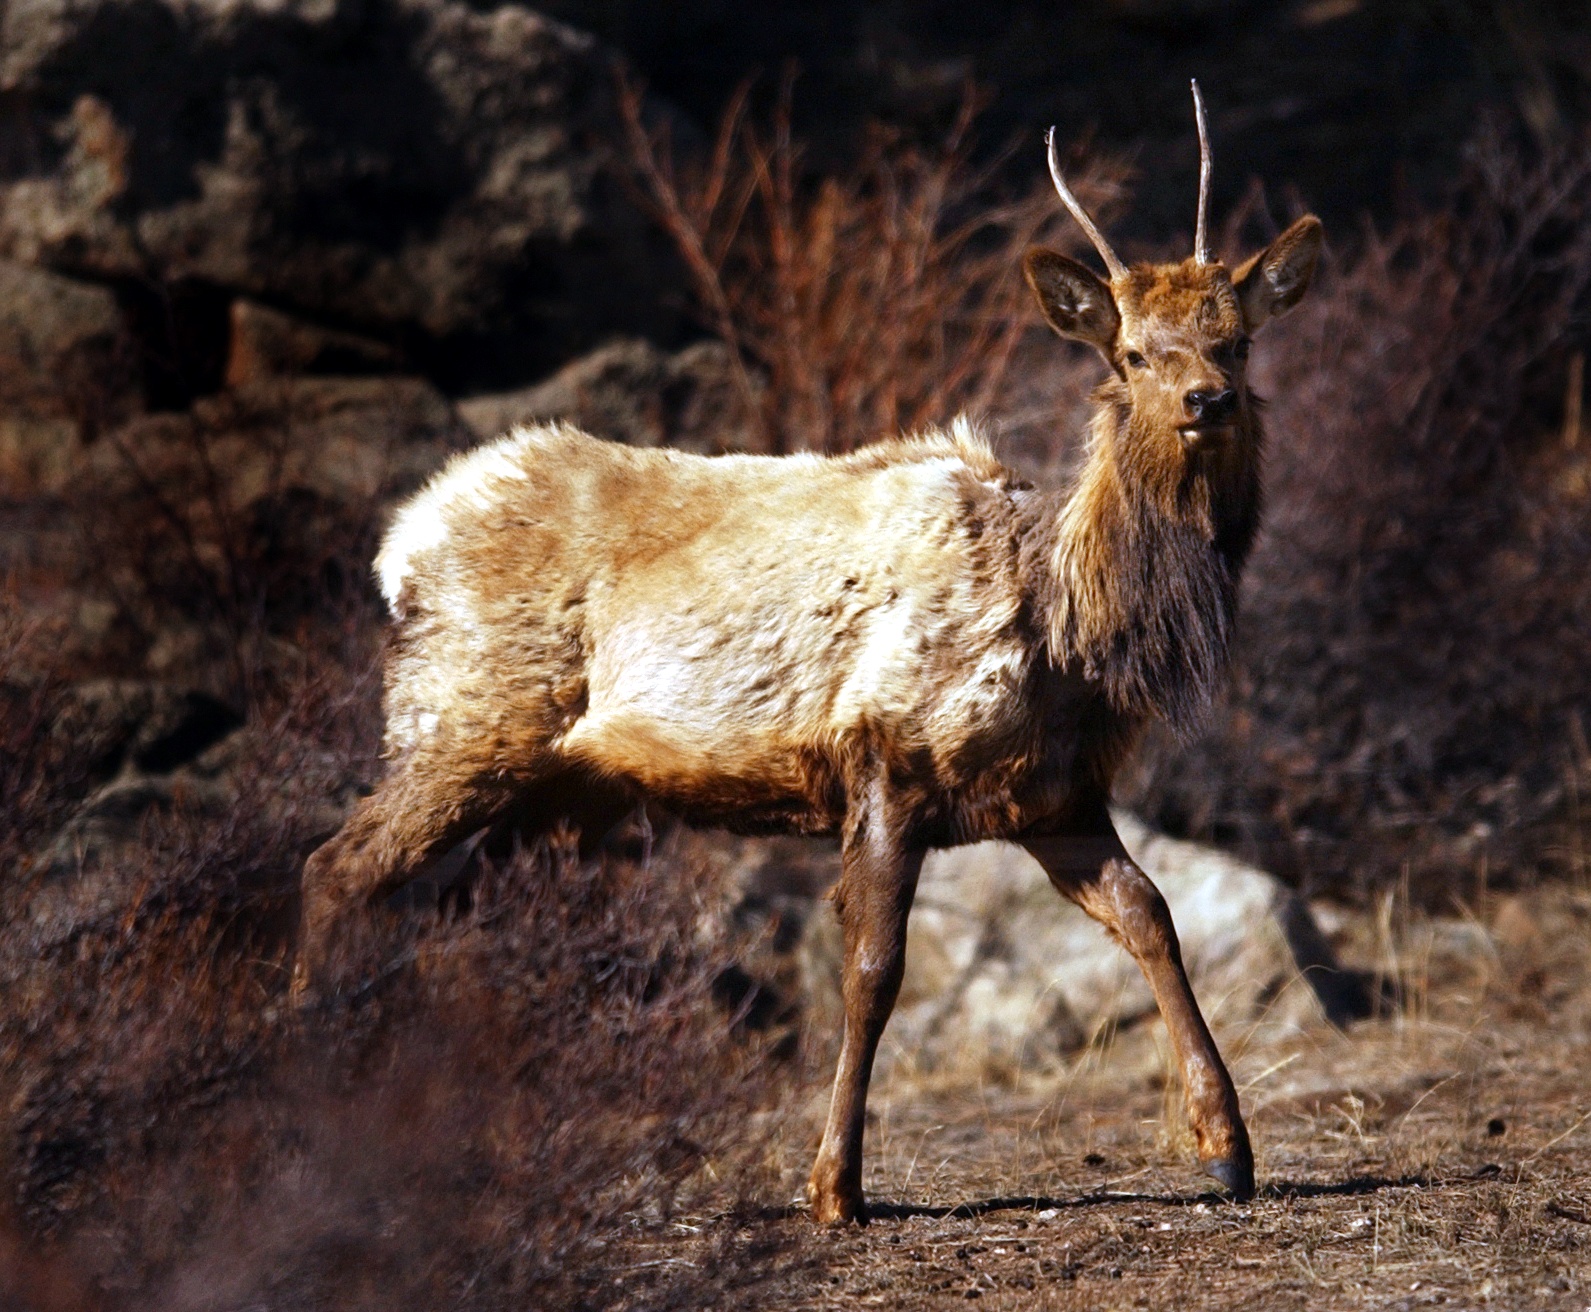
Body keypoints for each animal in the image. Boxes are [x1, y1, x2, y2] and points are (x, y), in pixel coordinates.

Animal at [295, 81, 1317, 1221]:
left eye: (1235, 340)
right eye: (1131, 352)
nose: (1204, 401)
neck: (1068, 629)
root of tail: (400, 546)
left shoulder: (1050, 793)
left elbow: (1151, 915)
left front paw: (1227, 1149)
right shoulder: (886, 749)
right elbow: (872, 969)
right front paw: (835, 1185)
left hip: (549, 788)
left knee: (436, 916)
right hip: (462, 717)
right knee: (336, 868)